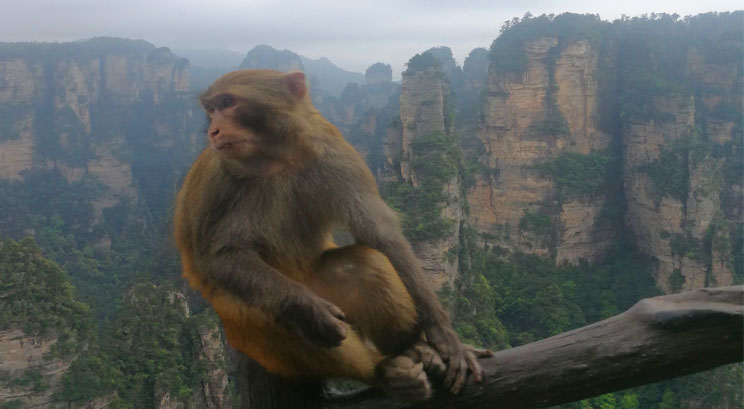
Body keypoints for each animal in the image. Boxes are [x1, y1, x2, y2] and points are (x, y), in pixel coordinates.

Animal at [174, 69, 488, 398]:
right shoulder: (221, 179)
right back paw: (381, 372)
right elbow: (218, 257)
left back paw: (412, 349)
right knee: (264, 311)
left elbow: (379, 233)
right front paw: (308, 309)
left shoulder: (332, 152)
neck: (277, 155)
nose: (214, 131)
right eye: (212, 109)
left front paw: (445, 336)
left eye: (228, 103)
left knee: (364, 265)